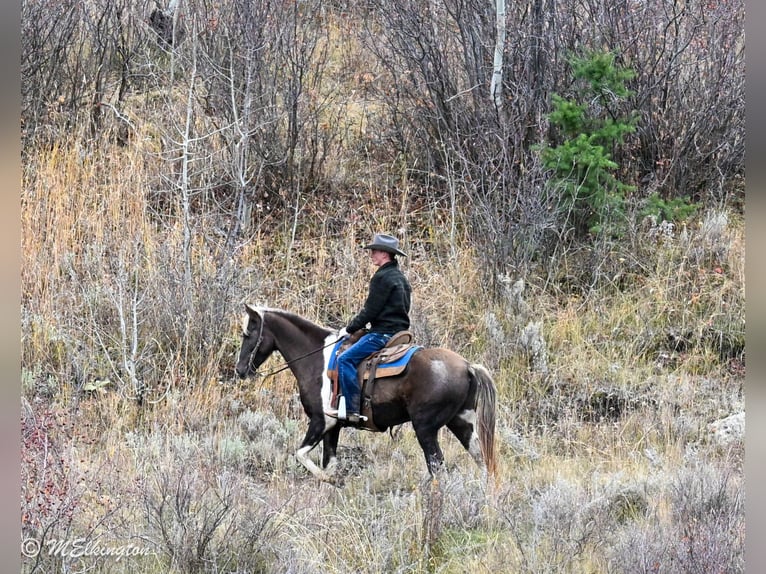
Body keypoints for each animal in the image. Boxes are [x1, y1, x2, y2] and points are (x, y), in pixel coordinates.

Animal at [235, 304, 497, 482]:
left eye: (248, 333)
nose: (240, 370)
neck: (317, 358)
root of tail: (467, 365)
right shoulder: (334, 427)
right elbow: (329, 462)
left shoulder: (321, 421)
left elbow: (301, 455)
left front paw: (329, 480)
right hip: (462, 422)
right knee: (481, 459)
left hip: (425, 428)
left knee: (437, 467)